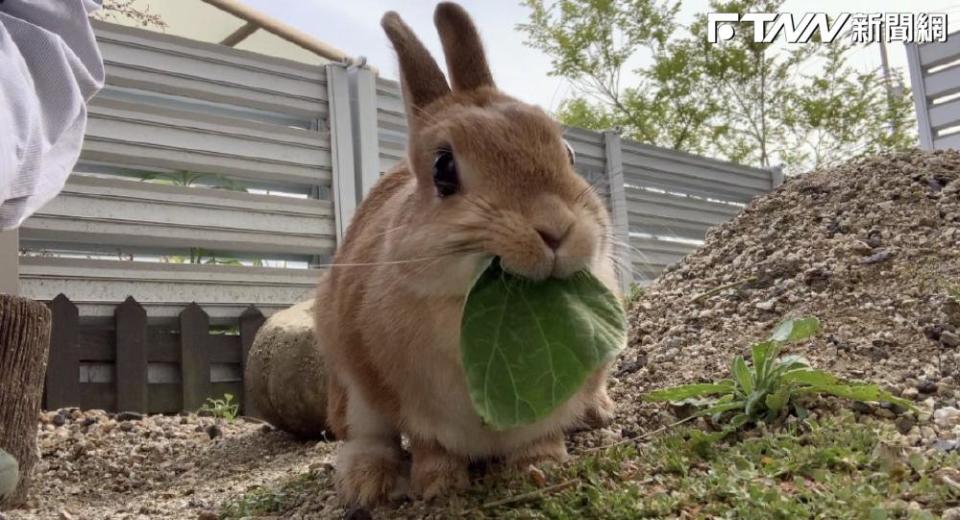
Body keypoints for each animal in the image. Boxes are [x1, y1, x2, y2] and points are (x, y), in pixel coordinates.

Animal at [318, 2, 624, 506]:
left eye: (567, 151)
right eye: (443, 169)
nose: (556, 228)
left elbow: (538, 436)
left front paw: (541, 465)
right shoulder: (411, 405)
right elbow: (428, 445)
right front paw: (437, 484)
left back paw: (600, 412)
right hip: (349, 386)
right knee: (367, 434)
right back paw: (367, 482)